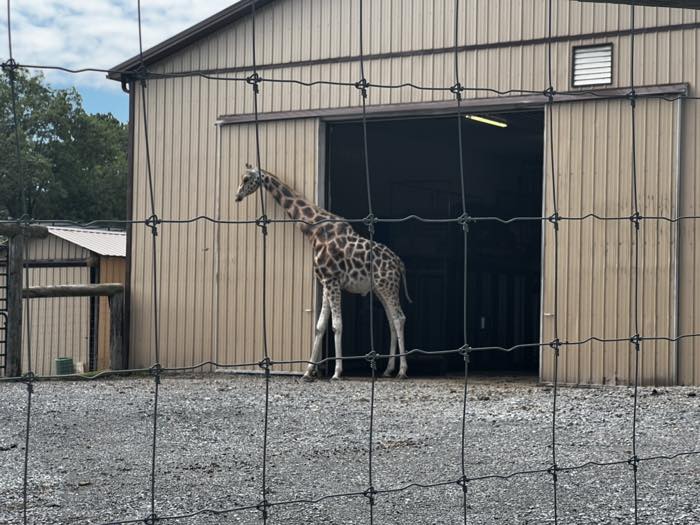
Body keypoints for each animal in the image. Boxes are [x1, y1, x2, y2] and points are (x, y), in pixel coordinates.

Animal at [235, 165, 411, 380]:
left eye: (246, 179)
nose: (237, 196)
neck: (314, 231)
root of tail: (399, 263)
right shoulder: (326, 281)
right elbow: (319, 327)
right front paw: (307, 371)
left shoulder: (332, 280)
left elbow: (336, 325)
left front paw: (336, 372)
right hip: (379, 288)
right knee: (392, 321)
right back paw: (388, 370)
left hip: (388, 287)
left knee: (399, 318)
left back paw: (402, 371)